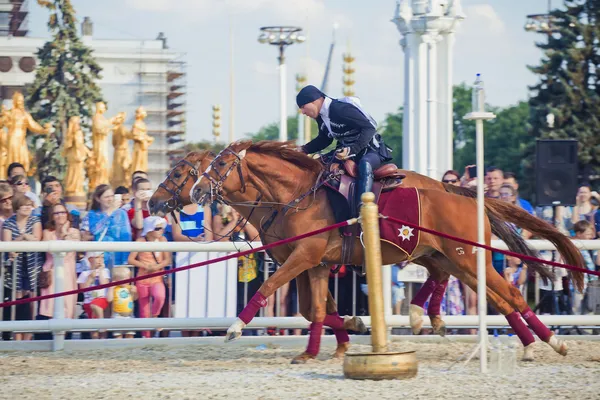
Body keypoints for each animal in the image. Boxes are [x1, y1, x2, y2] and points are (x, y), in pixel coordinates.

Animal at [150, 142, 584, 364]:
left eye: (181, 172)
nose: (154, 203)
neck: (292, 196)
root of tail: (461, 193)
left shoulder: (303, 258)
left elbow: (271, 288)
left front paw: (238, 326)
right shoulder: (314, 263)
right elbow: (315, 310)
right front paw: (332, 341)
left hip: (464, 257)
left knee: (508, 295)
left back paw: (550, 343)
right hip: (446, 257)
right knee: (480, 292)